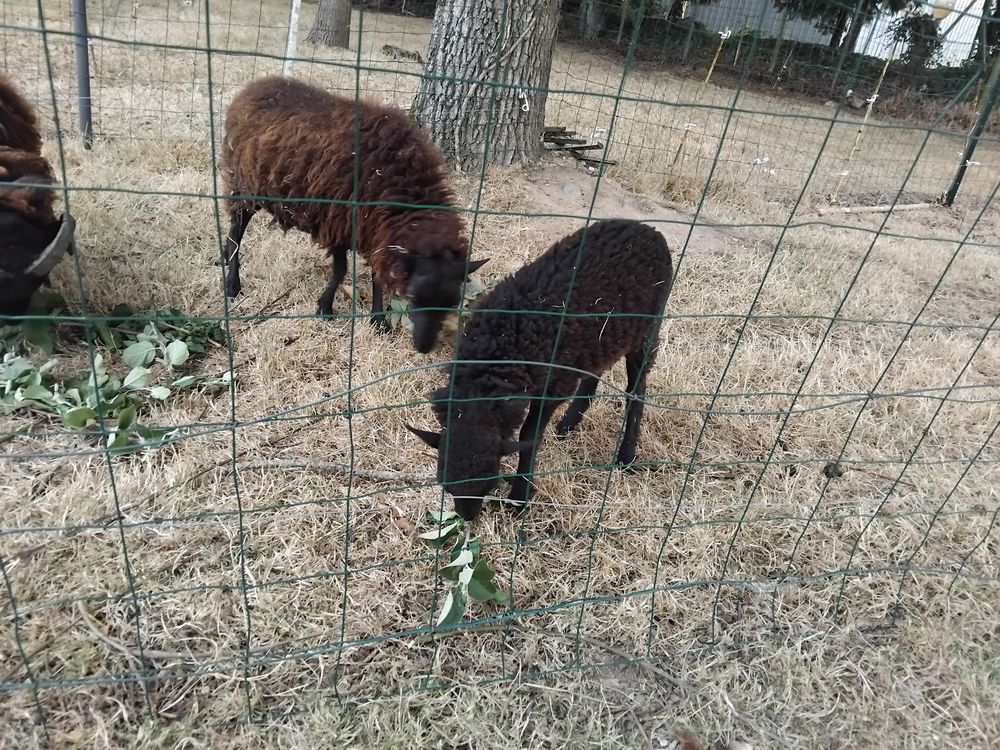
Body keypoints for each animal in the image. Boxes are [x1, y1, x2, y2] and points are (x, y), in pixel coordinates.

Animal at [220, 75, 488, 354]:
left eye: (452, 300)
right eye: (412, 296)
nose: (423, 347)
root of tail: (254, 85)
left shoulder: (374, 229)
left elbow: (377, 276)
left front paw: (378, 320)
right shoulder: (337, 220)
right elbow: (341, 269)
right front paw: (325, 307)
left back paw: (224, 257)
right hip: (242, 182)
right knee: (237, 229)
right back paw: (232, 284)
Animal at [407, 219, 673, 521]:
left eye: (489, 480)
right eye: (446, 485)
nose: (467, 518)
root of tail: (649, 230)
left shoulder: (554, 385)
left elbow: (529, 437)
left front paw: (519, 498)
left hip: (647, 328)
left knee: (636, 390)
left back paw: (626, 458)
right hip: (604, 338)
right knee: (596, 370)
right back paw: (569, 424)